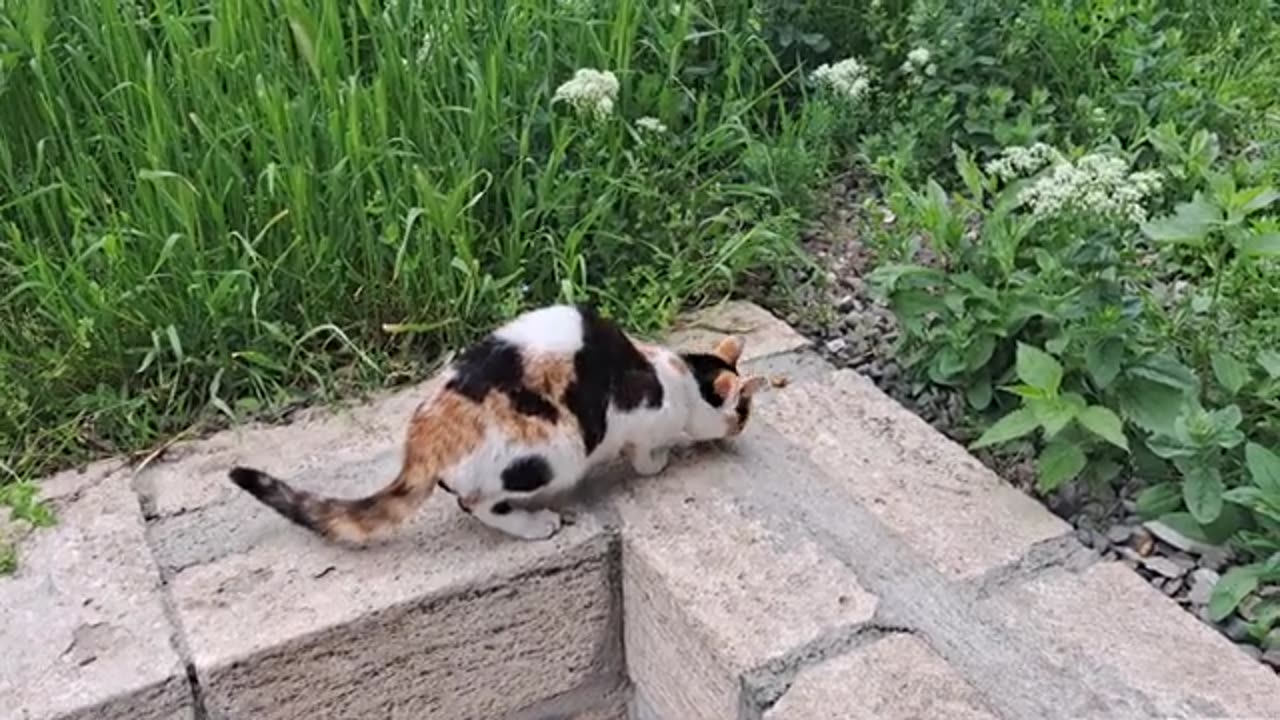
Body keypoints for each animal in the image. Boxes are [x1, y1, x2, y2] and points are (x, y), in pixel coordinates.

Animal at [229, 299, 762, 540]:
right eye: (744, 411)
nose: (742, 428)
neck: (680, 377)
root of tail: (425, 438)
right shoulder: (643, 424)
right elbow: (646, 455)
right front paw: (662, 461)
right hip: (555, 454)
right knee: (476, 503)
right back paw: (535, 524)